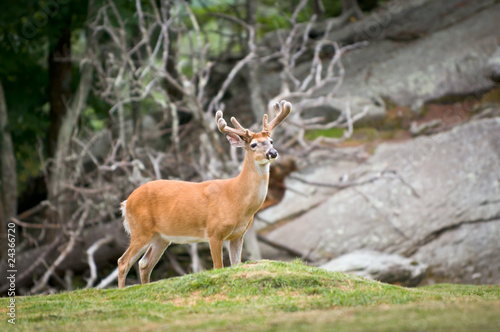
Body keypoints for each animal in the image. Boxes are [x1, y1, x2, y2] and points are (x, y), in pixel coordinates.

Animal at [117, 99, 292, 288]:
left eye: (271, 141)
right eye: (253, 144)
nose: (272, 153)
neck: (235, 199)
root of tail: (126, 202)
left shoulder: (238, 234)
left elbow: (236, 265)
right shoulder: (214, 232)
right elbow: (218, 267)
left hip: (161, 237)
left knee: (144, 264)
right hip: (140, 229)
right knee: (123, 262)